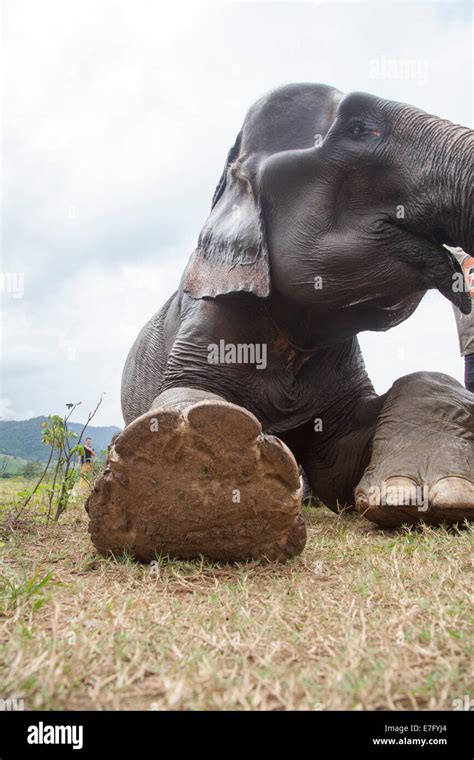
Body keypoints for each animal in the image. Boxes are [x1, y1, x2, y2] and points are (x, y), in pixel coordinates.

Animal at [86, 83, 474, 560]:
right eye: (361, 128)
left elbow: (339, 463)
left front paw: (432, 495)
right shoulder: (208, 320)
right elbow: (184, 394)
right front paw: (204, 472)